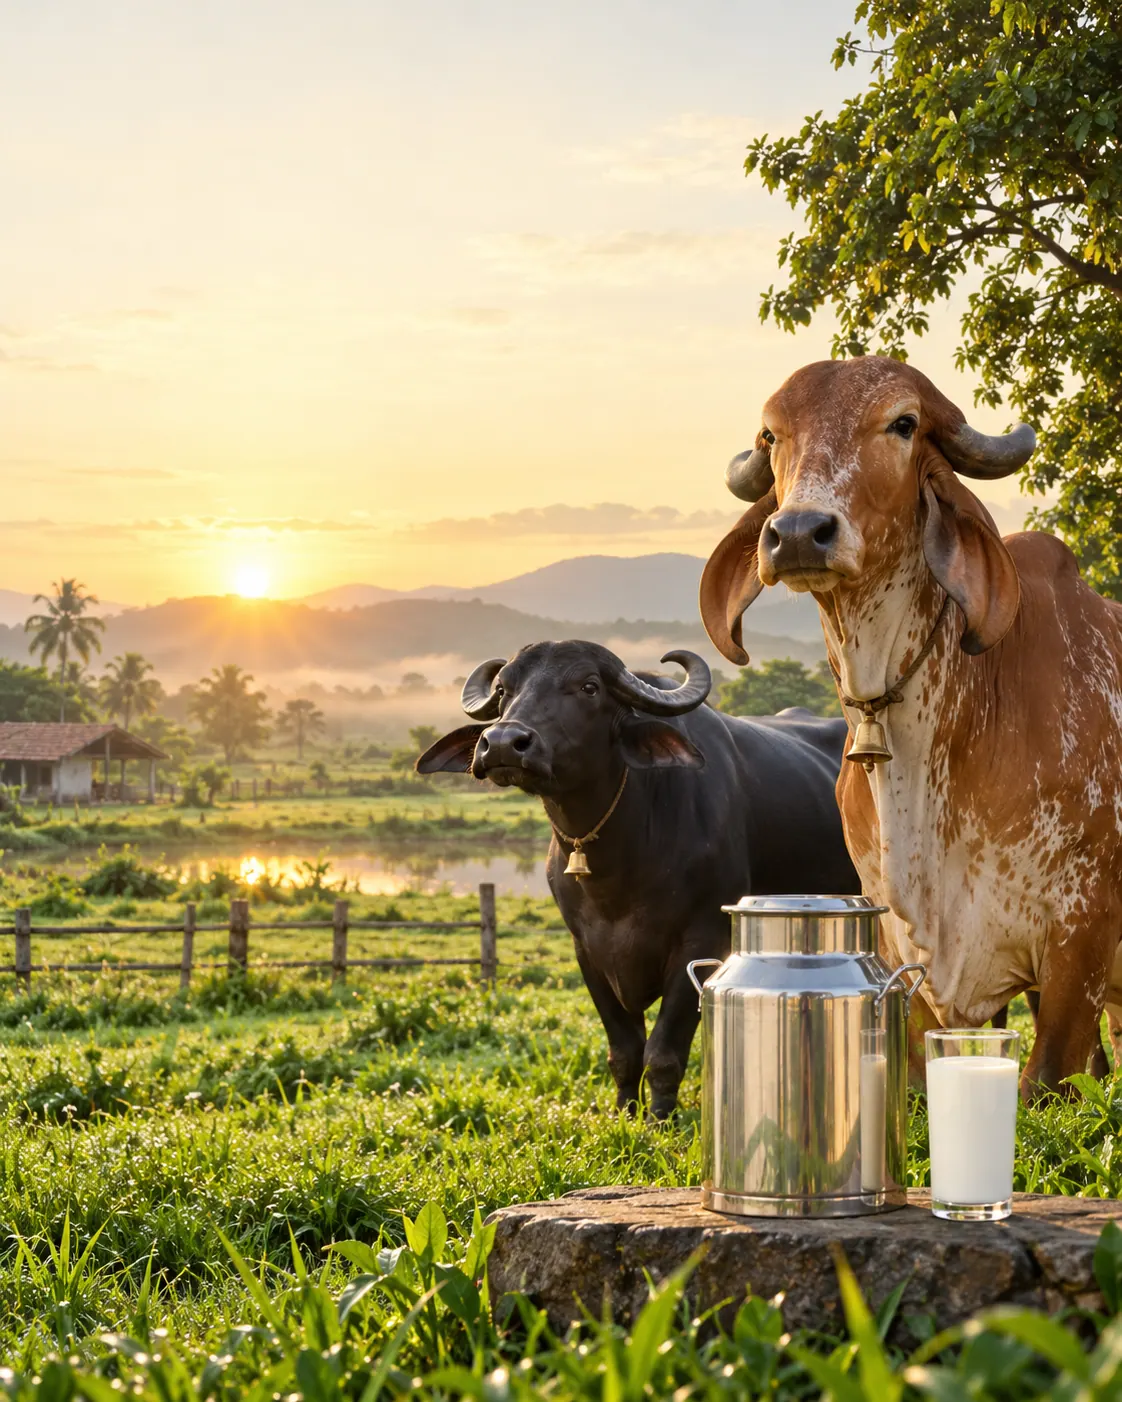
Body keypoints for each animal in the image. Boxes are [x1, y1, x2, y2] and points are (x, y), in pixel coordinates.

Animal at [417, 641, 860, 1117]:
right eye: (503, 690)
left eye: (589, 686)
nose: (501, 743)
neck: (619, 865)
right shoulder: (587, 950)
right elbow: (625, 1050)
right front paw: (626, 1113)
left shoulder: (701, 942)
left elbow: (663, 1053)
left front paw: (659, 1120)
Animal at [699, 355, 1122, 1100]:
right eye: (772, 435)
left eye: (903, 423)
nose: (799, 532)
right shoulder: (895, 938)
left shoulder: (1083, 935)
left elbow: (1046, 1074)